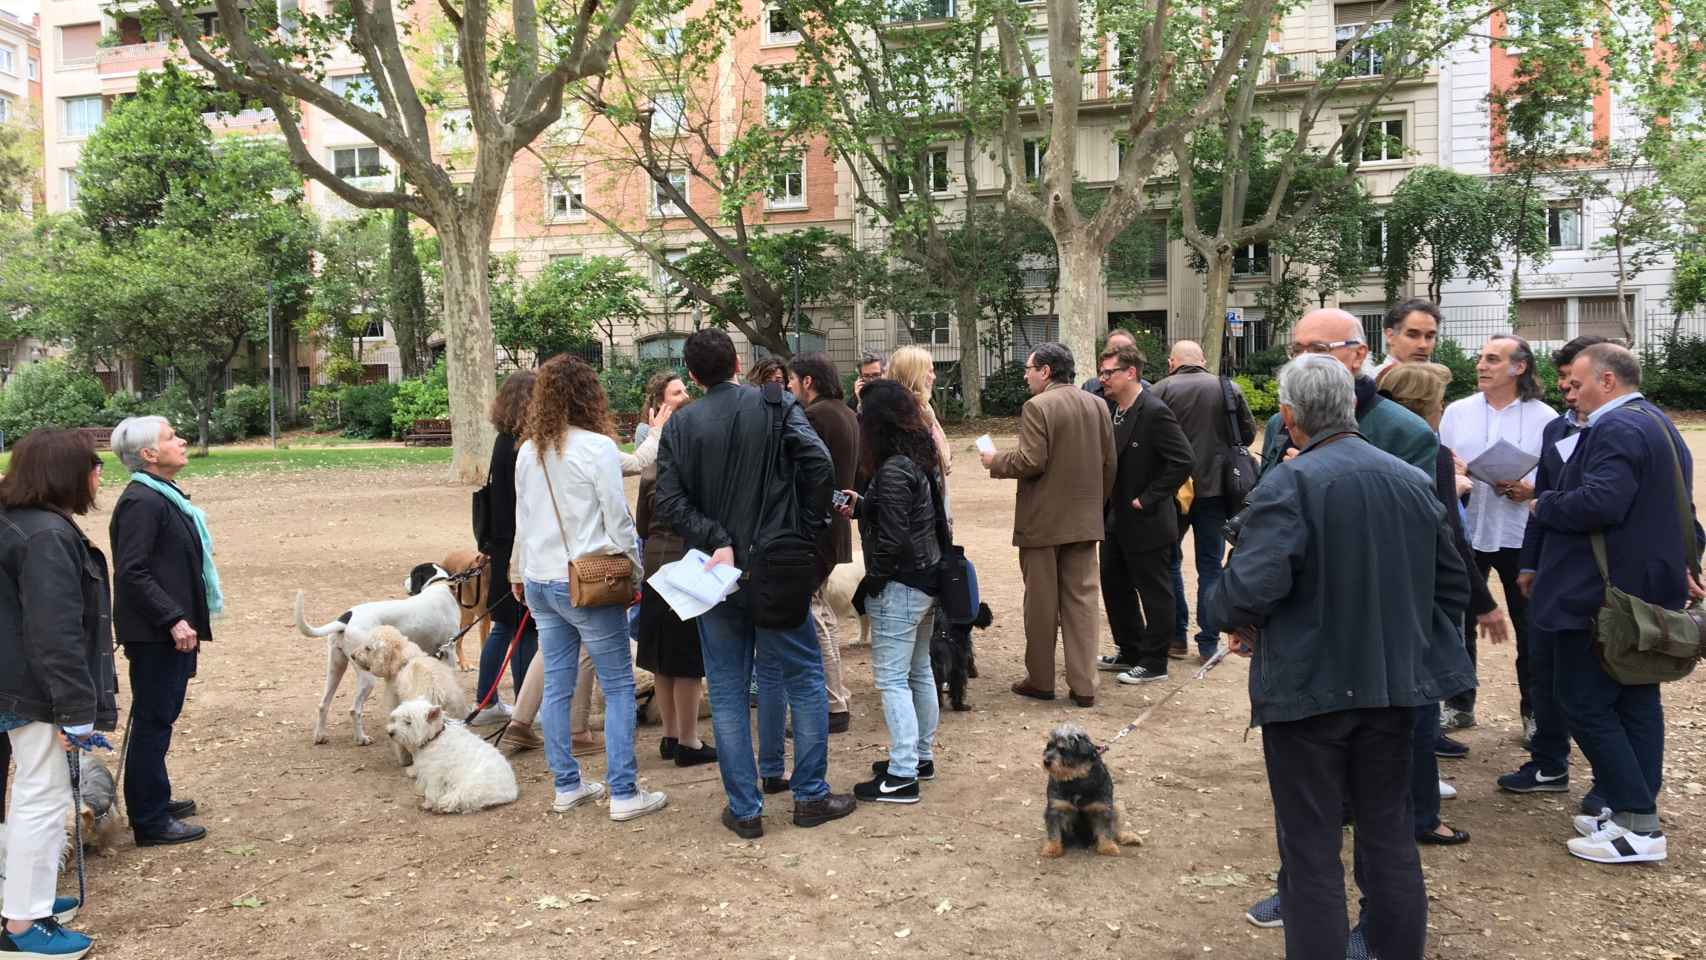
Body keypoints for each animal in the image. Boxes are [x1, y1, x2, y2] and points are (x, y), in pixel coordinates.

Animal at [296, 562, 464, 750]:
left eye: (412, 573)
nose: (404, 579)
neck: (438, 585)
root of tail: (346, 618)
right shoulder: (449, 649)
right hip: (367, 677)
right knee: (355, 710)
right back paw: (361, 738)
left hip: (335, 668)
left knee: (323, 704)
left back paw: (320, 736)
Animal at [348, 627, 470, 770]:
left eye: (368, 648)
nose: (352, 655)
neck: (401, 659)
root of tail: (438, 695)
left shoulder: (394, 708)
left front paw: (404, 760)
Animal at [387, 695, 518, 815]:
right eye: (396, 719)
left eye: (408, 722)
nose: (390, 733)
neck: (434, 737)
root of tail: (512, 791)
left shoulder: (434, 774)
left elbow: (431, 791)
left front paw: (428, 804)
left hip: (472, 786)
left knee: (460, 799)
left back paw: (443, 806)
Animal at [1044, 726, 1139, 859]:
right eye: (1049, 746)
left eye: (1063, 749)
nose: (1046, 761)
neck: (1076, 779)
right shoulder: (1055, 809)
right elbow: (1054, 832)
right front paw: (1052, 848)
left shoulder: (1103, 809)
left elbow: (1106, 830)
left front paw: (1107, 847)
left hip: (1116, 807)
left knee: (1116, 830)